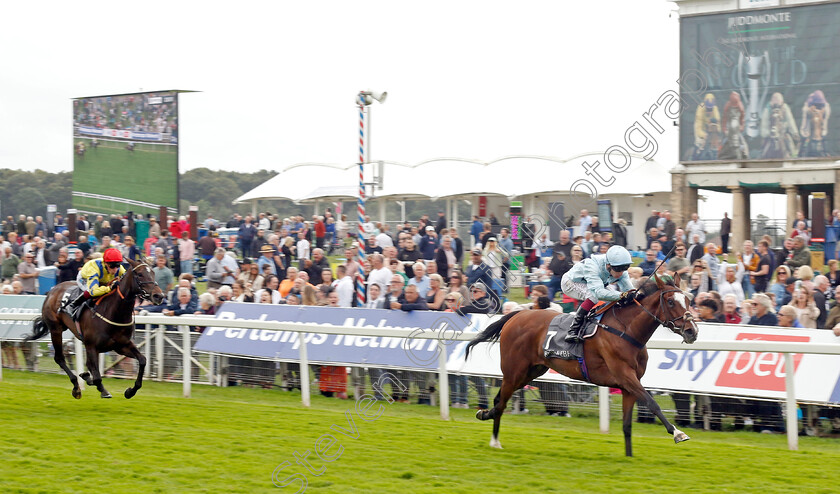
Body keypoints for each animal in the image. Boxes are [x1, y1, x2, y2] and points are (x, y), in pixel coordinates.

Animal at [26, 256, 166, 400]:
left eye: (153, 273)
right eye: (139, 274)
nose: (159, 296)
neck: (114, 312)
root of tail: (52, 290)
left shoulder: (121, 346)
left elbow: (142, 360)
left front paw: (130, 391)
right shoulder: (91, 345)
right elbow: (97, 376)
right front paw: (102, 390)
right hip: (56, 330)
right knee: (59, 358)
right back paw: (76, 387)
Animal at [470, 274, 700, 456]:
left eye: (688, 300)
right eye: (670, 301)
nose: (692, 331)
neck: (626, 330)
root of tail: (517, 314)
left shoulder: (629, 386)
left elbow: (627, 425)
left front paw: (629, 457)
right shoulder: (625, 376)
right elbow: (652, 404)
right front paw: (678, 433)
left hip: (531, 371)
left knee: (499, 399)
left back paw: (484, 415)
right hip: (514, 371)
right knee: (501, 402)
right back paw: (494, 440)